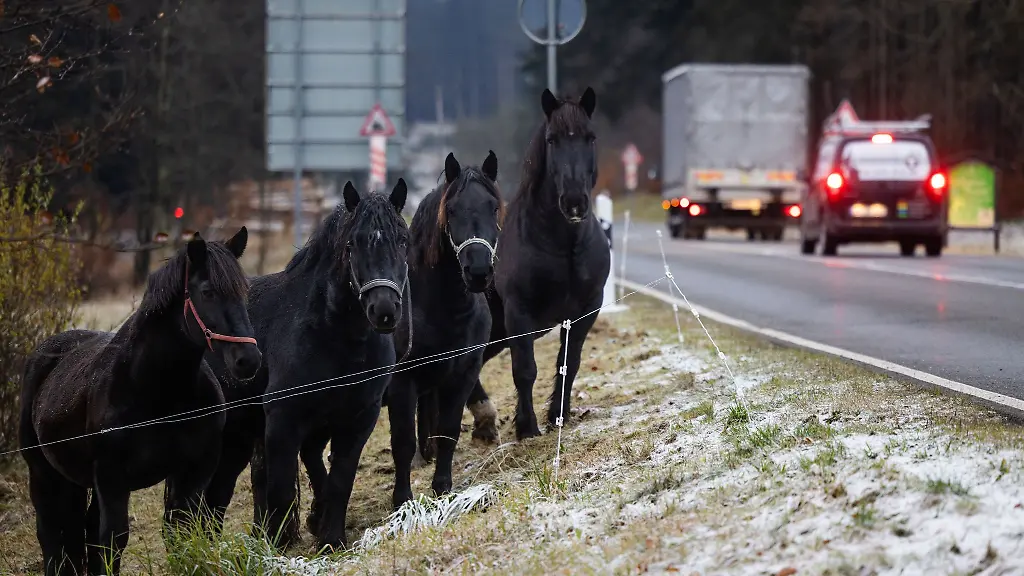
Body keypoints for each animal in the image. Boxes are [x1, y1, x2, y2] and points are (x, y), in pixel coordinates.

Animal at [19, 228, 261, 576]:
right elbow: (112, 541)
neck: (158, 393)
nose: (248, 360)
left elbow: (181, 531)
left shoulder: (194, 471)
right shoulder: (112, 479)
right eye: (208, 292)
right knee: (52, 534)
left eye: (244, 291)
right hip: (43, 473)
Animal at [202, 179, 410, 552]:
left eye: (402, 239)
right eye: (352, 244)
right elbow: (282, 489)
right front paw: (279, 545)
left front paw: (330, 538)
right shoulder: (284, 421)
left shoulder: (358, 418)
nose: (384, 310)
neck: (334, 338)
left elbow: (339, 480)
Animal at [298, 151, 503, 514]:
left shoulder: (463, 373)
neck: (440, 307)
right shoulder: (402, 384)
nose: (478, 271)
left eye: (493, 207)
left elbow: (448, 432)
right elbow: (403, 442)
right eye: (453, 210)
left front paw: (442, 489)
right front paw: (402, 499)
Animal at [463, 87, 610, 442]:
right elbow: (525, 370)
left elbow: (569, 362)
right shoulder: (519, 312)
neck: (563, 246)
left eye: (590, 137)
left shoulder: (587, 309)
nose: (574, 202)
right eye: (552, 139)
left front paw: (559, 415)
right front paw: (527, 427)